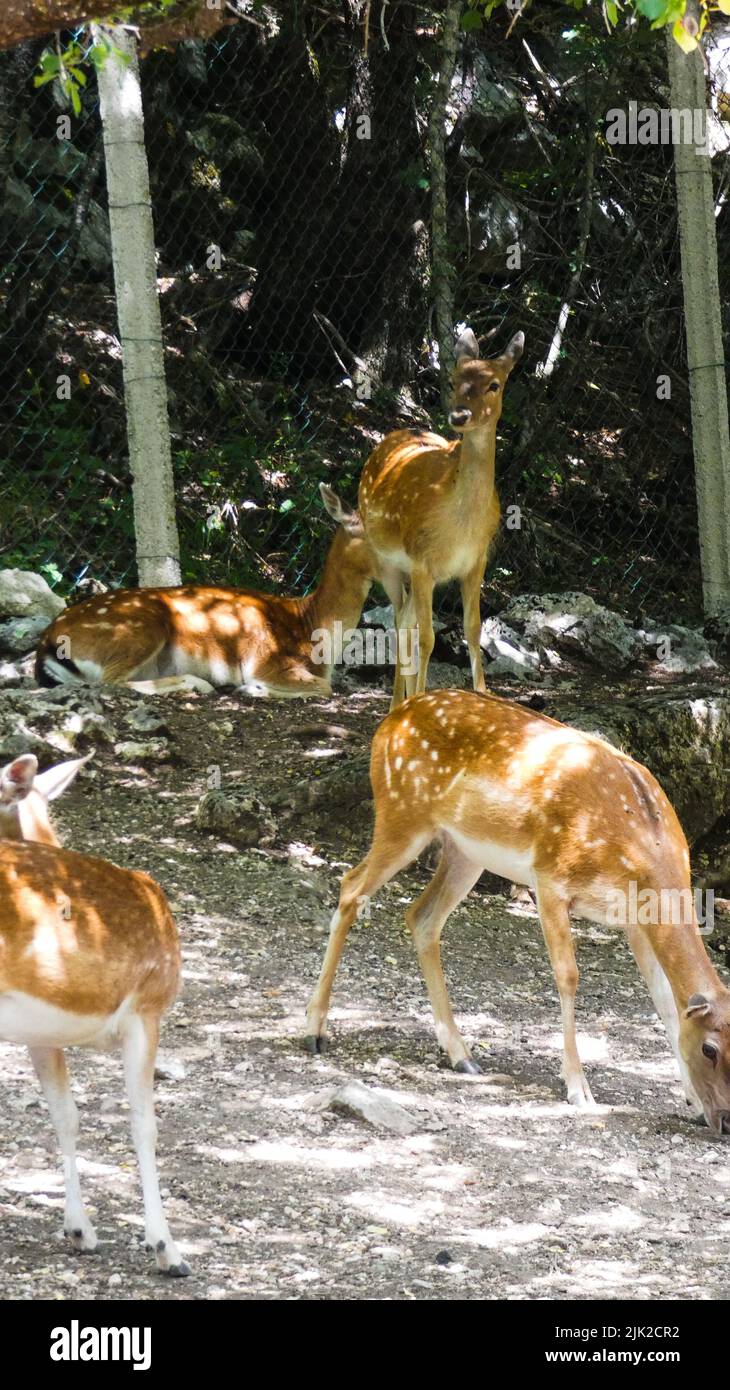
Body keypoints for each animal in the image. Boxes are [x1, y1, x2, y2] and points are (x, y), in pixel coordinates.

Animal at [0, 751, 190, 1275]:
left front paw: (80, 1230)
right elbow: (145, 1124)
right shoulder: (147, 1007)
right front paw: (167, 1249)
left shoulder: (40, 1033)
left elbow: (65, 1114)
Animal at [35, 485, 375, 698]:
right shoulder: (266, 661)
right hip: (138, 629)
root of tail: (48, 641)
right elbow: (324, 688)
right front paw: (250, 689)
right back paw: (200, 684)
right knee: (110, 683)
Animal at [305, 689, 730, 1135]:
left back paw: (461, 1054)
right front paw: (578, 1088)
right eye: (709, 1049)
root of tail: (390, 721)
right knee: (350, 887)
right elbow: (568, 976)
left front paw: (691, 1102)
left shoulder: (634, 919)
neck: (641, 846)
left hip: (464, 852)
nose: (725, 1121)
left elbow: (663, 1000)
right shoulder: (551, 879)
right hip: (401, 815)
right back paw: (314, 1031)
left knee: (421, 917)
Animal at [358, 328, 524, 707]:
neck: (461, 526)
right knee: (401, 624)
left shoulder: (477, 561)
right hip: (384, 558)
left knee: (404, 619)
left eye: (494, 384)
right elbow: (428, 639)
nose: (460, 416)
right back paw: (397, 706)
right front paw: (421, 701)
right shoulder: (423, 562)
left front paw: (483, 696)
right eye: (453, 380)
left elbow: (473, 630)